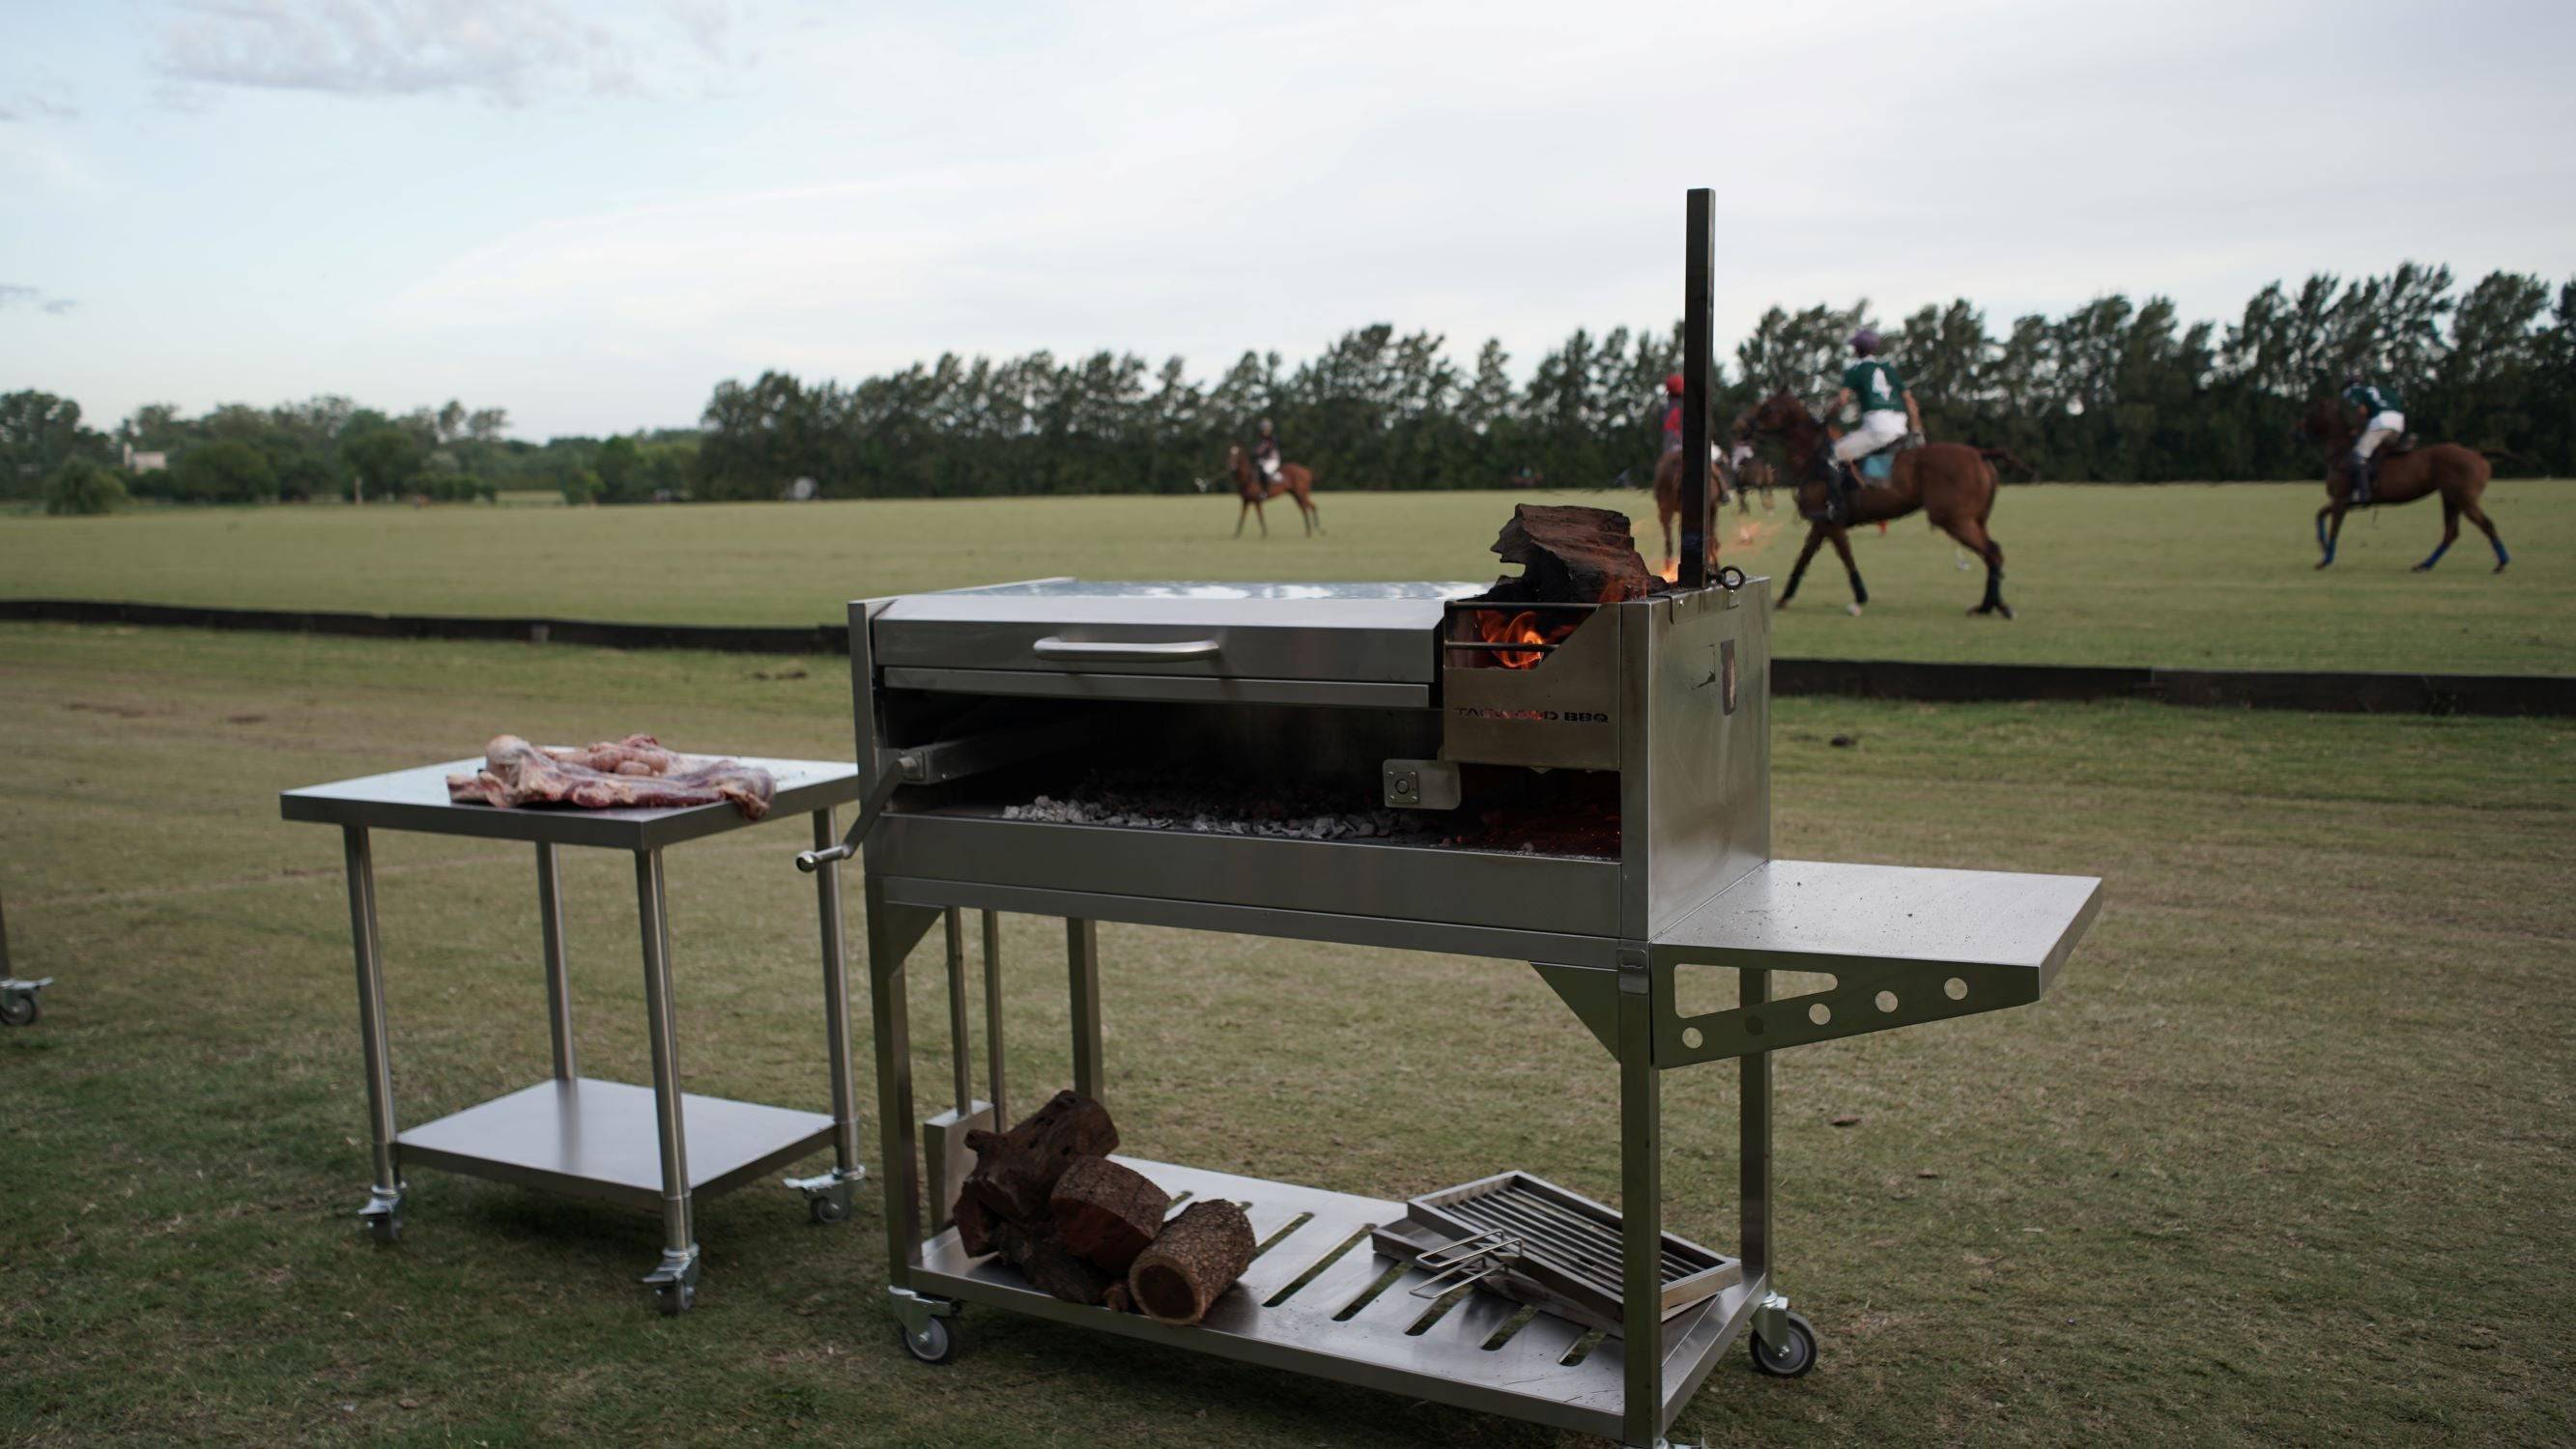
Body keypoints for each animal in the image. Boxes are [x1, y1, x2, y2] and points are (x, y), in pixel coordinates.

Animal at [1648, 447, 1731, 574]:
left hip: (1665, 508)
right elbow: (1711, 538)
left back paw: (1668, 566)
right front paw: (1715, 566)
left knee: (1669, 540)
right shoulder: (1712, 509)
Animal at [1731, 390, 2009, 617]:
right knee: (1994, 551)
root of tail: (1980, 454)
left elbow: (1846, 557)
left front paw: (1860, 598)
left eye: (1767, 407)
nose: (1740, 424)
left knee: (1991, 552)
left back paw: (1989, 607)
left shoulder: (1831, 522)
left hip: (1953, 519)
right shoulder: (1821, 524)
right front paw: (1783, 598)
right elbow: (1803, 560)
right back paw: (1993, 605)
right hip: (1974, 518)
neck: (1812, 458)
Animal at [2298, 401, 2514, 579]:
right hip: (2450, 498)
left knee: (2486, 525)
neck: (2341, 453)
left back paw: (2501, 564)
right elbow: (2319, 515)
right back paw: (2424, 565)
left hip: (2464, 499)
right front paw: (2323, 547)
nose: (2296, 433)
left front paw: (2325, 560)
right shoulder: (2344, 501)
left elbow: (2334, 529)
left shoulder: (2341, 500)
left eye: (2309, 412)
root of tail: (2477, 454)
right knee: (2451, 533)